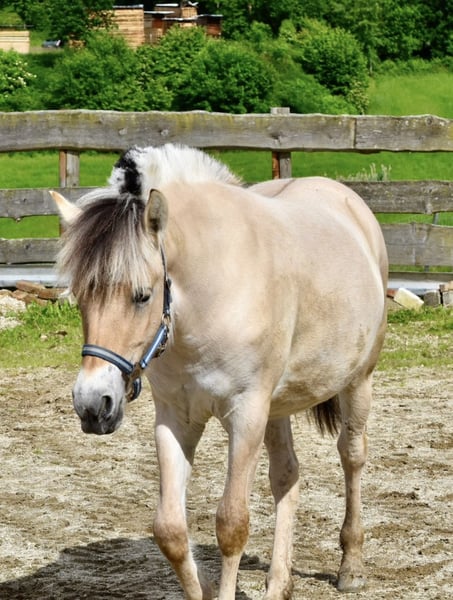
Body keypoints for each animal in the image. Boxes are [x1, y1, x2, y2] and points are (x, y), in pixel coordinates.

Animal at [51, 143, 388, 600]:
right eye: (80, 296)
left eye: (142, 295)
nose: (92, 405)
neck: (211, 294)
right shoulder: (176, 418)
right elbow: (170, 530)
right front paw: (206, 586)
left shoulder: (245, 415)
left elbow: (232, 525)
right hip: (276, 409)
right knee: (287, 476)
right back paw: (279, 583)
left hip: (357, 382)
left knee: (352, 457)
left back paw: (351, 566)